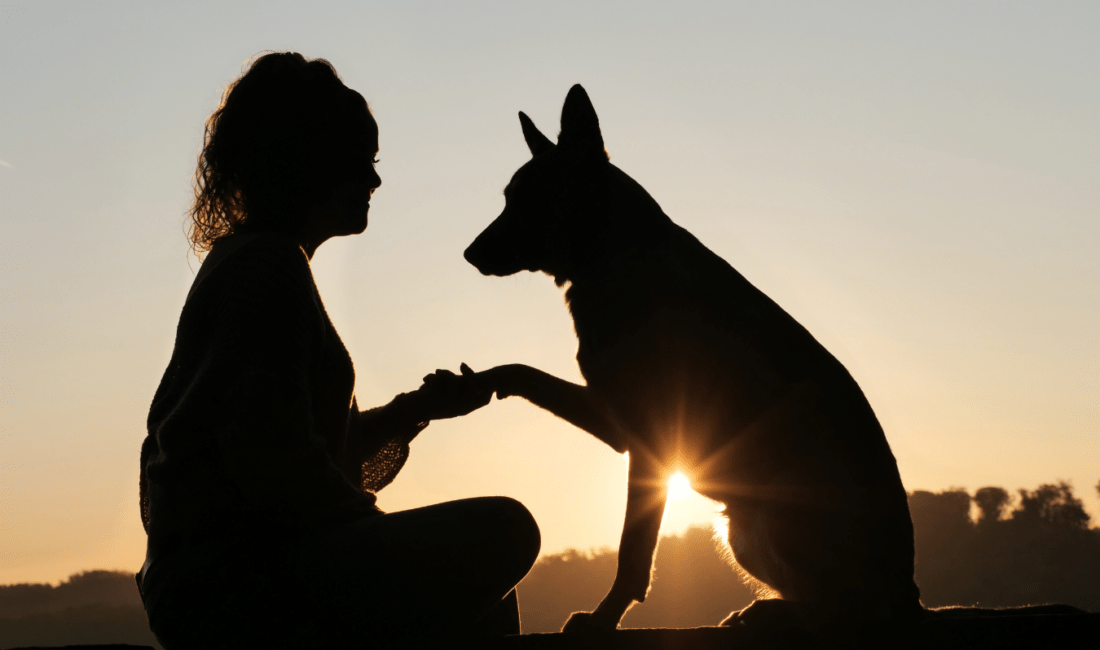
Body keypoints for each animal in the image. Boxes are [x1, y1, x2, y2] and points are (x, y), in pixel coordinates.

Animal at [464, 84, 928, 633]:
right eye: (509, 199)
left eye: (529, 200)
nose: (469, 253)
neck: (617, 258)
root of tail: (910, 596)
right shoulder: (619, 425)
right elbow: (522, 371)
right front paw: (477, 383)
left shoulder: (649, 447)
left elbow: (633, 552)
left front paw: (605, 617)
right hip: (741, 530)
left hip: (770, 507)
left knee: (844, 611)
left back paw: (770, 613)